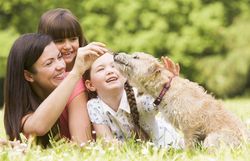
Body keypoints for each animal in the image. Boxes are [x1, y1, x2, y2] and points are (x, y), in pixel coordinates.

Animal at [114, 52, 249, 149]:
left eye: (135, 57)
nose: (115, 54)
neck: (166, 88)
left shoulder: (190, 126)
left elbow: (188, 146)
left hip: (212, 139)